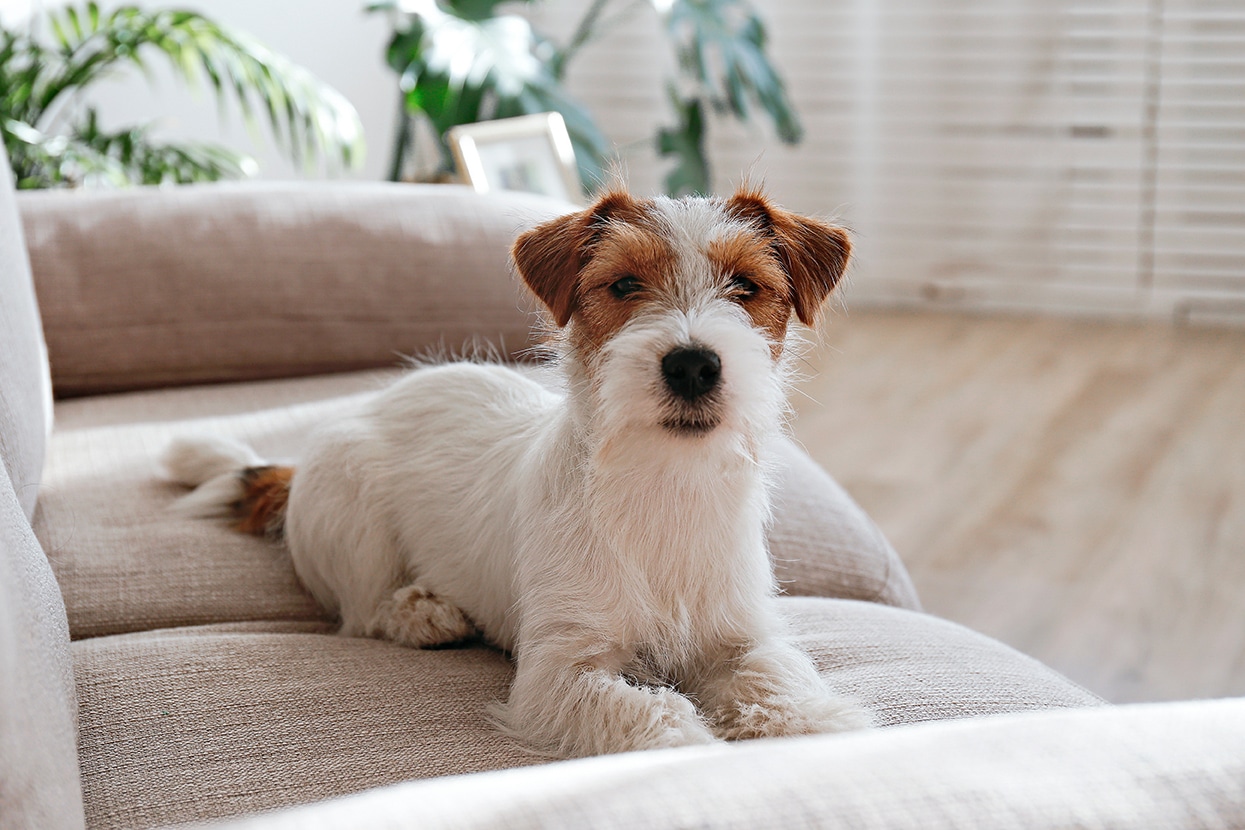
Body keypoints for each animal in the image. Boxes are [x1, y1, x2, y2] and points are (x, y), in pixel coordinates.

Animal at [163, 186, 866, 761]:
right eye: (624, 286)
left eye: (745, 285)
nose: (692, 364)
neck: (662, 484)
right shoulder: (558, 672)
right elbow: (649, 712)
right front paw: (691, 747)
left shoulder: (741, 638)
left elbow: (778, 678)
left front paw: (813, 727)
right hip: (352, 509)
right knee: (360, 611)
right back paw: (422, 613)